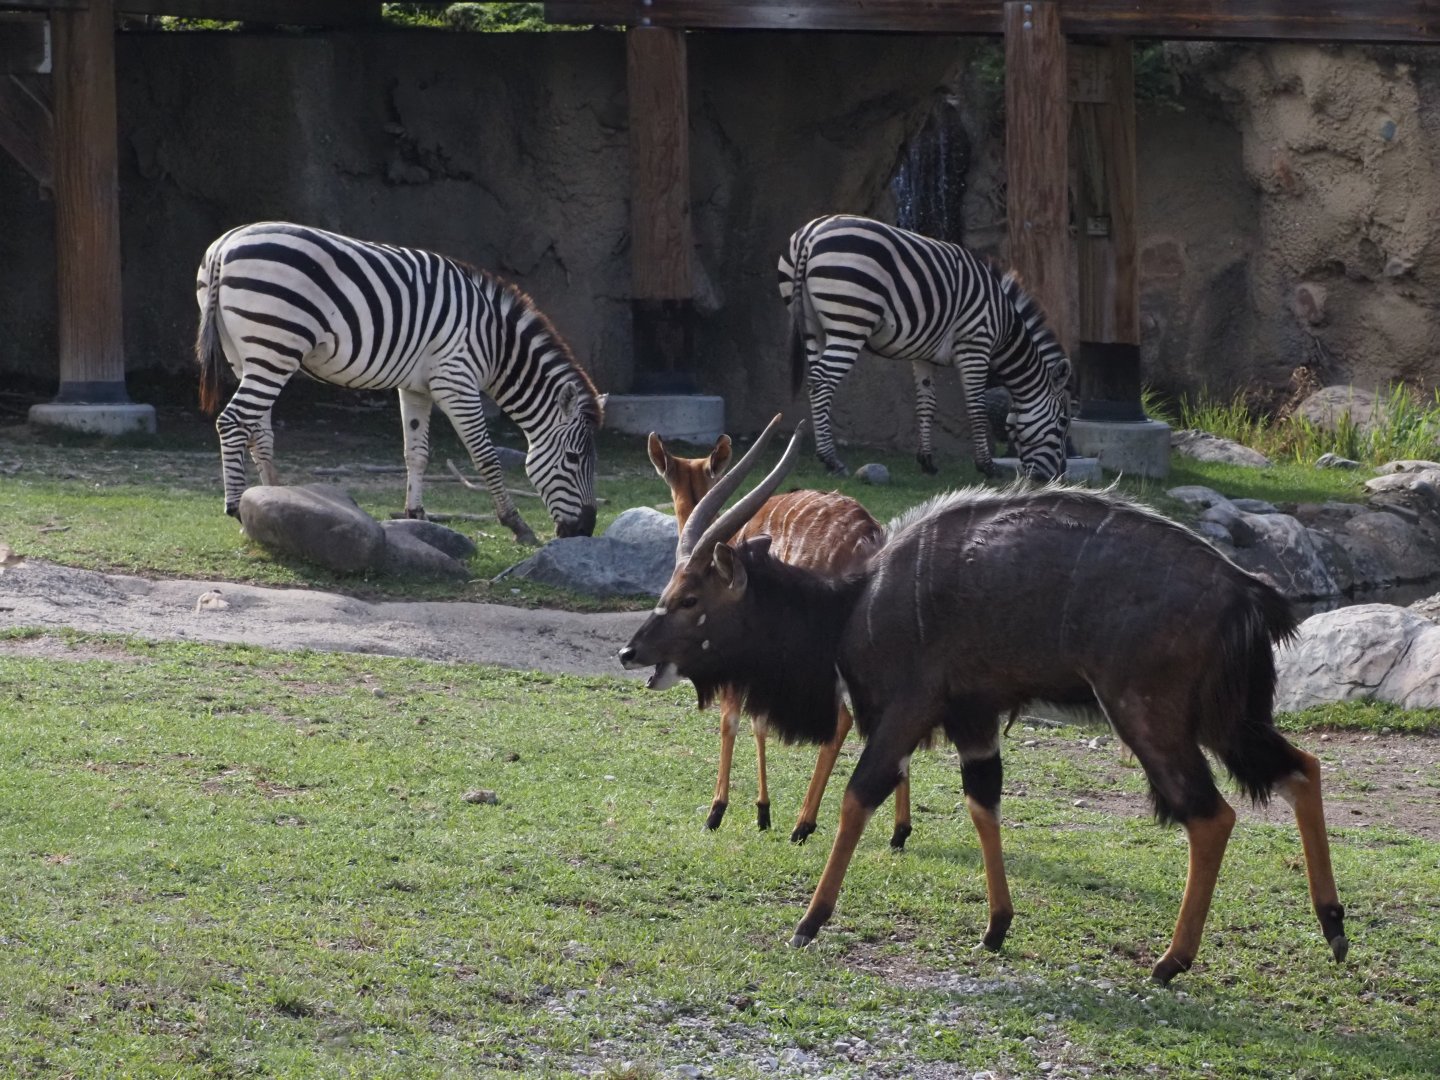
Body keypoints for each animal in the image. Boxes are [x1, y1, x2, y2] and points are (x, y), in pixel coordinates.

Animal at [195, 222, 604, 545]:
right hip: (277, 345)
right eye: (574, 458)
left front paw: (416, 514)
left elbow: (416, 453)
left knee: (257, 429)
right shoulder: (456, 380)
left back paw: (271, 496)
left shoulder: (416, 387)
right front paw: (517, 524)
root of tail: (224, 246)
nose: (585, 530)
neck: (495, 341)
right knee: (232, 421)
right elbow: (485, 456)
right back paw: (236, 506)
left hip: (248, 354)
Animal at [778, 214, 1072, 480]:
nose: (1057, 476)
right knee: (822, 382)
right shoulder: (975, 344)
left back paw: (824, 455)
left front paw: (927, 461)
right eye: (1063, 423)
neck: (1004, 325)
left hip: (812, 326)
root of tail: (810, 235)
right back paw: (831, 460)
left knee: (814, 380)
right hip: (850, 321)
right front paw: (987, 466)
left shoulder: (924, 355)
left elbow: (926, 404)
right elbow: (976, 407)